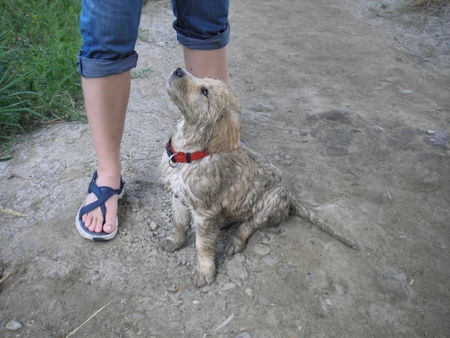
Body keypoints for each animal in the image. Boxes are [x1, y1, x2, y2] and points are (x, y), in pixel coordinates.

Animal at [160, 68, 356, 288]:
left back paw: (235, 241)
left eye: (204, 92)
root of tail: (291, 198)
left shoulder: (204, 211)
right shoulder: (178, 196)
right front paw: (175, 241)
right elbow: (179, 223)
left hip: (271, 200)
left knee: (249, 225)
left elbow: (202, 245)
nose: (178, 70)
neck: (187, 151)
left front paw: (205, 271)